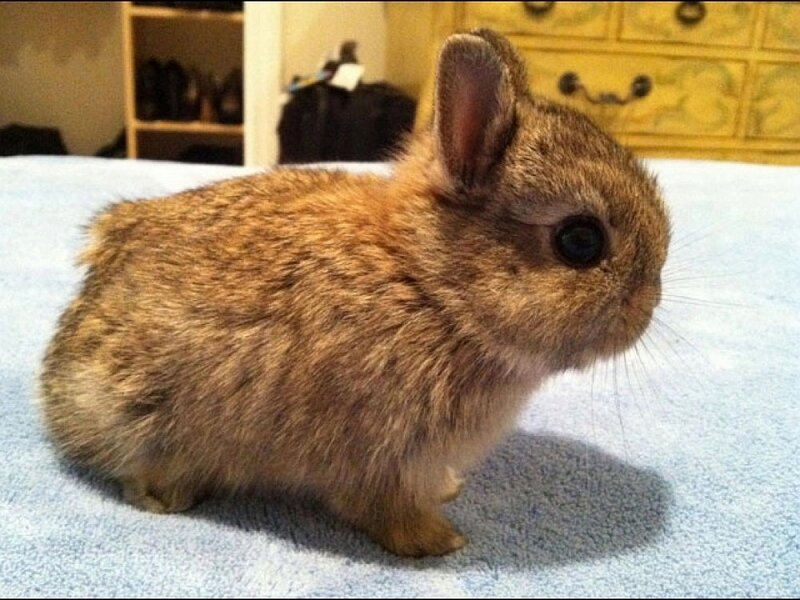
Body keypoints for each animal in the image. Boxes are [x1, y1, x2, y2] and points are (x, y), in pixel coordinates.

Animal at [38, 28, 670, 558]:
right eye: (580, 241)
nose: (647, 306)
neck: (432, 288)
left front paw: (448, 492)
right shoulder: (382, 457)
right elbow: (384, 511)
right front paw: (441, 543)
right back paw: (168, 497)